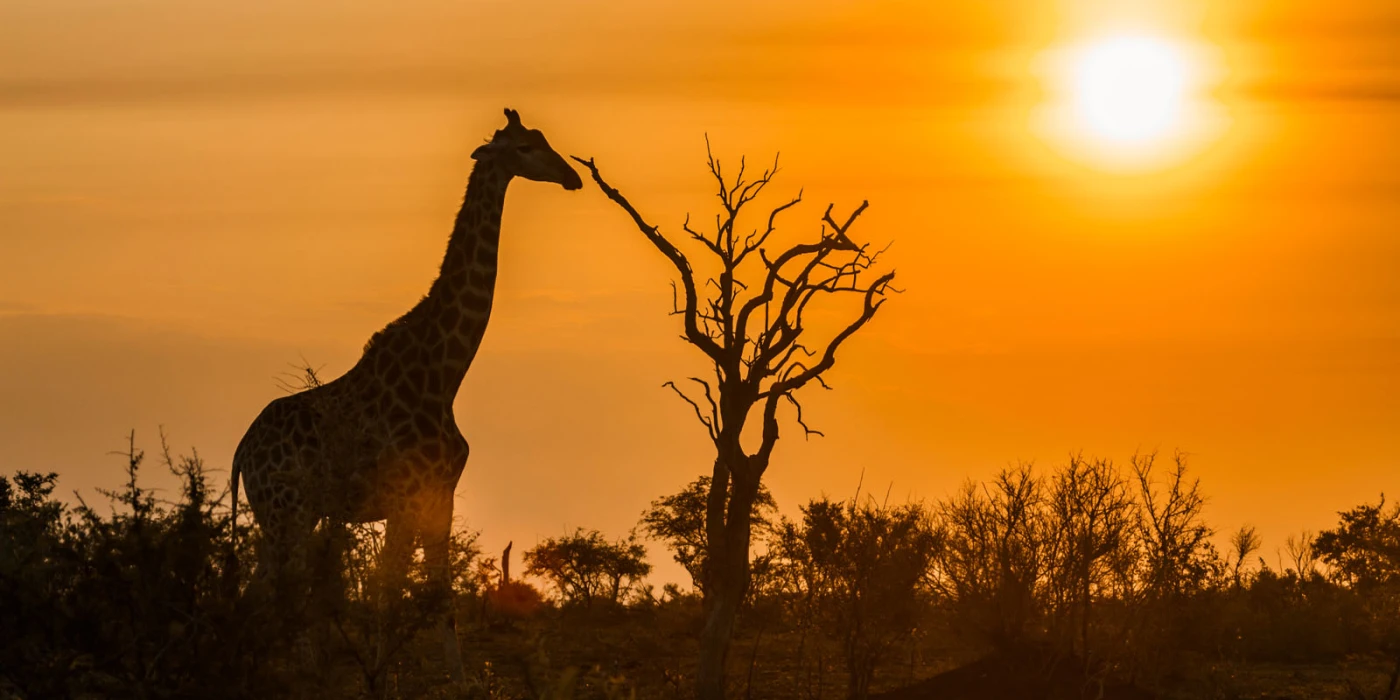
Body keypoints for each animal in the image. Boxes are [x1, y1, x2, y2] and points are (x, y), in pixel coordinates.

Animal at [229, 106, 579, 680]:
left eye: (543, 138)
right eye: (525, 148)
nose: (572, 176)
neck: (444, 372)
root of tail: (241, 450)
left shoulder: (441, 493)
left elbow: (439, 596)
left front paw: (460, 681)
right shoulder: (403, 496)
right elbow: (389, 595)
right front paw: (381, 676)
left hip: (283, 515)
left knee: (253, 594)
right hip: (288, 513)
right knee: (282, 595)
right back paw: (298, 672)